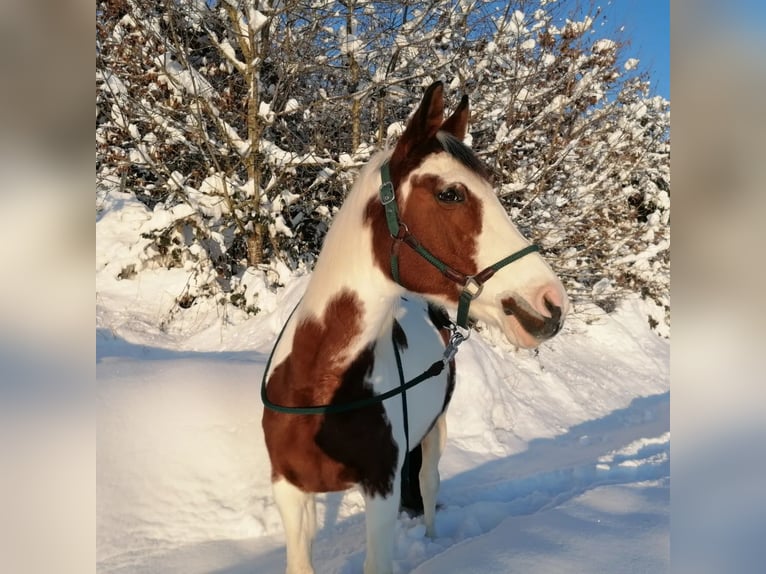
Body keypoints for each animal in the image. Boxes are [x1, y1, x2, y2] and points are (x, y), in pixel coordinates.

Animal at [264, 82, 568, 574]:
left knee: (428, 483)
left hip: (433, 431)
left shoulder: (382, 490)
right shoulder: (290, 493)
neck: (320, 384)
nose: (550, 304)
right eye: (450, 194)